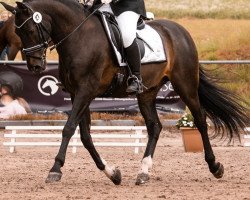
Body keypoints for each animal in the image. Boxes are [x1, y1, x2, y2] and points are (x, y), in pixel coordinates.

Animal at [1, 0, 248, 186]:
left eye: (29, 30)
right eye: (17, 32)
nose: (34, 67)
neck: (79, 36)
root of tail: (180, 31)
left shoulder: (86, 91)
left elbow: (69, 129)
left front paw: (55, 170)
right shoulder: (77, 93)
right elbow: (85, 136)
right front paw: (113, 173)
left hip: (185, 84)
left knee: (200, 120)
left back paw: (215, 166)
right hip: (147, 92)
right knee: (155, 127)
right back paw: (143, 172)